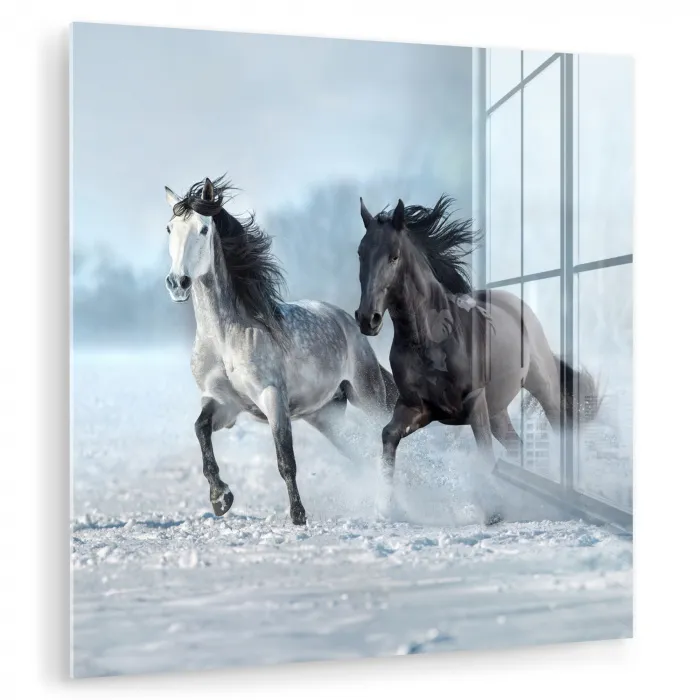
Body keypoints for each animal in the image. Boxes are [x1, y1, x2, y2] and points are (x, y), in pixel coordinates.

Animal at [163, 176, 397, 525]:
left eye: (203, 229)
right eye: (170, 228)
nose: (177, 283)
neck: (224, 338)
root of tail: (347, 320)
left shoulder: (272, 398)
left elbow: (286, 459)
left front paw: (298, 516)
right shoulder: (223, 403)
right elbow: (201, 431)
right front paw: (221, 498)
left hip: (367, 396)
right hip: (325, 415)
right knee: (361, 451)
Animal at [354, 195, 599, 524]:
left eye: (394, 256)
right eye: (360, 253)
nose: (368, 318)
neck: (430, 339)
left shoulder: (473, 401)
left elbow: (483, 453)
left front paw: (494, 511)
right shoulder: (417, 407)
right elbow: (388, 435)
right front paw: (387, 506)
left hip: (540, 387)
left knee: (559, 425)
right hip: (498, 411)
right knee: (517, 446)